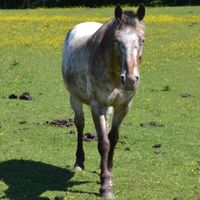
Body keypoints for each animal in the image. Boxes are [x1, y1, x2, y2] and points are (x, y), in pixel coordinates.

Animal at [61, 3, 145, 199]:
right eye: (116, 40)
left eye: (142, 40)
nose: (130, 80)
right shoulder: (97, 106)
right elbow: (103, 143)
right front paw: (105, 186)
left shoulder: (124, 107)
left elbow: (112, 138)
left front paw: (108, 173)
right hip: (75, 98)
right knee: (80, 124)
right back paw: (79, 163)